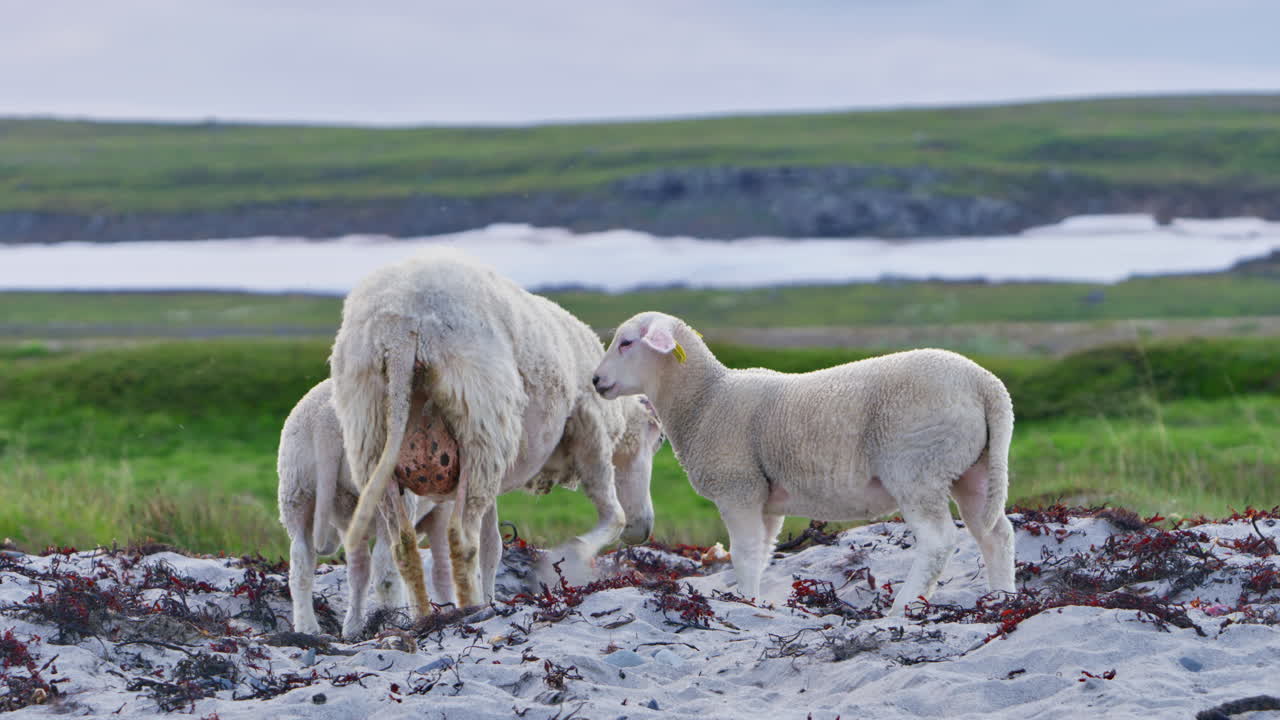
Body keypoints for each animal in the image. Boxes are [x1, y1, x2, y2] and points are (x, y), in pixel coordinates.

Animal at [330, 248, 662, 619]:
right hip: (479, 421)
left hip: (375, 433)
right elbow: (613, 516)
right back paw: (470, 606)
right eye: (658, 439)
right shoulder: (591, 432)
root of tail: (400, 328)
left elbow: (494, 547)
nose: (644, 530)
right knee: (461, 538)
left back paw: (425, 615)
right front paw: (574, 552)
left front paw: (493, 594)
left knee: (404, 543)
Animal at [591, 311, 1016, 615]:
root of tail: (987, 385)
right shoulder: (764, 499)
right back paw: (1000, 599)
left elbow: (743, 554)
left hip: (916, 465)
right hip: (972, 468)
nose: (596, 381)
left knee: (938, 540)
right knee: (996, 533)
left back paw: (903, 605)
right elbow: (761, 554)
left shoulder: (737, 487)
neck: (706, 399)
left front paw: (743, 603)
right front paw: (755, 602)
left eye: (626, 343)